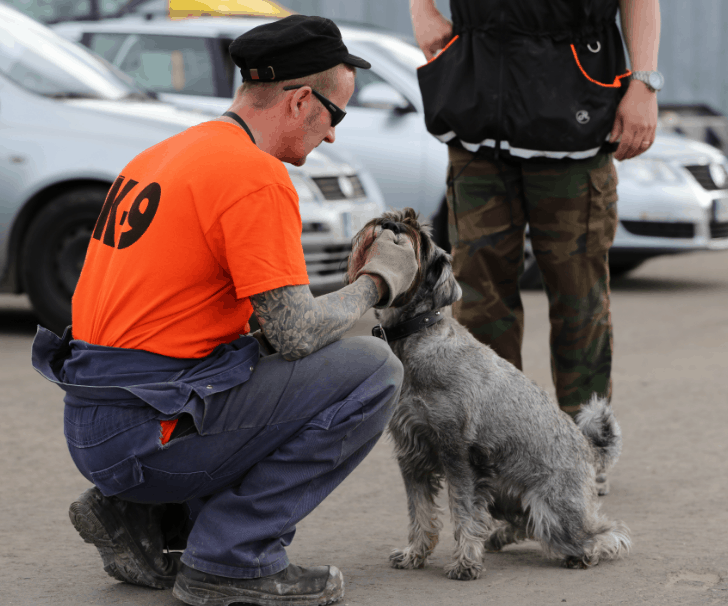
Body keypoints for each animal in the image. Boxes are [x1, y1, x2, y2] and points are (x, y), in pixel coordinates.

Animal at [346, 210, 632, 584]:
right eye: (392, 217)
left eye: (421, 240)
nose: (391, 226)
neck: (416, 340)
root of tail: (589, 449)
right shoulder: (412, 455)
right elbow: (420, 512)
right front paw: (414, 553)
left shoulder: (458, 455)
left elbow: (464, 512)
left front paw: (465, 563)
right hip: (502, 492)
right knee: (527, 522)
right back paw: (498, 536)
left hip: (554, 512)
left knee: (605, 533)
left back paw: (582, 554)